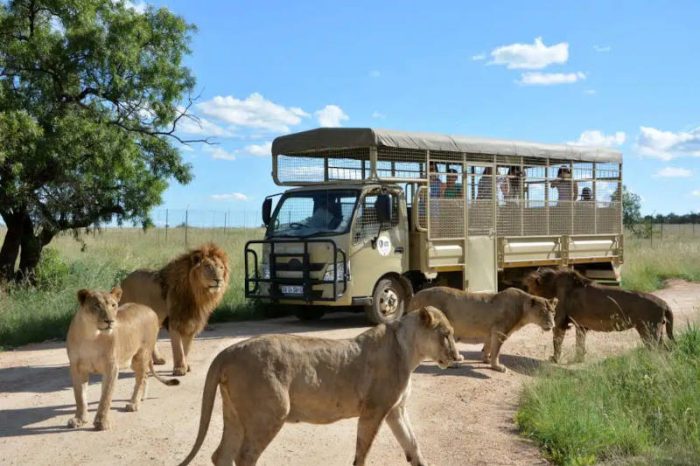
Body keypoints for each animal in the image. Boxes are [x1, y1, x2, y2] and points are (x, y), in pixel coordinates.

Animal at [119, 242, 230, 376]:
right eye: (208, 266)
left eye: (221, 268)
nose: (218, 280)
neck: (197, 294)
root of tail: (124, 280)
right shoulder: (174, 321)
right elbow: (178, 348)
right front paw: (179, 369)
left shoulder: (191, 322)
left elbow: (186, 348)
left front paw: (186, 366)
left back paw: (157, 360)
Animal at [178, 306, 462, 466]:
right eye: (446, 334)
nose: (458, 357)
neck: (409, 351)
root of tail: (228, 351)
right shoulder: (374, 410)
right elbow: (362, 451)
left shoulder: (395, 410)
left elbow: (413, 445)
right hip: (270, 412)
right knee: (244, 457)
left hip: (234, 414)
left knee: (221, 456)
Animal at [524, 266, 672, 364]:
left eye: (529, 287)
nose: (527, 295)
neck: (552, 285)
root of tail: (664, 303)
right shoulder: (580, 325)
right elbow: (580, 343)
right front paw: (578, 359)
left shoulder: (560, 322)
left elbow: (557, 342)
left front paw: (554, 359)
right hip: (657, 332)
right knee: (666, 349)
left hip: (649, 332)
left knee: (658, 351)